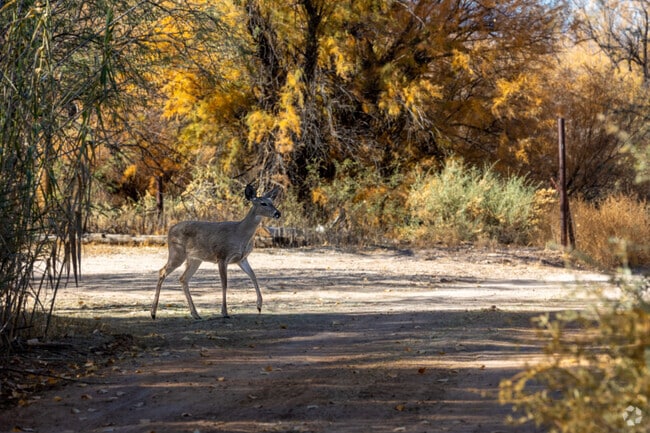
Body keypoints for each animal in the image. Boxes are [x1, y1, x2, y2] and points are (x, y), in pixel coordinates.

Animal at [151, 184, 281, 320]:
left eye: (272, 202)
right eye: (263, 203)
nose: (278, 213)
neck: (240, 233)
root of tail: (169, 230)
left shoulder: (242, 259)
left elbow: (253, 275)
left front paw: (259, 305)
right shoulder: (222, 256)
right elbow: (224, 283)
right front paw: (224, 312)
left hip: (195, 259)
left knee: (183, 278)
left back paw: (195, 314)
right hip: (177, 252)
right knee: (162, 271)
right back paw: (153, 313)